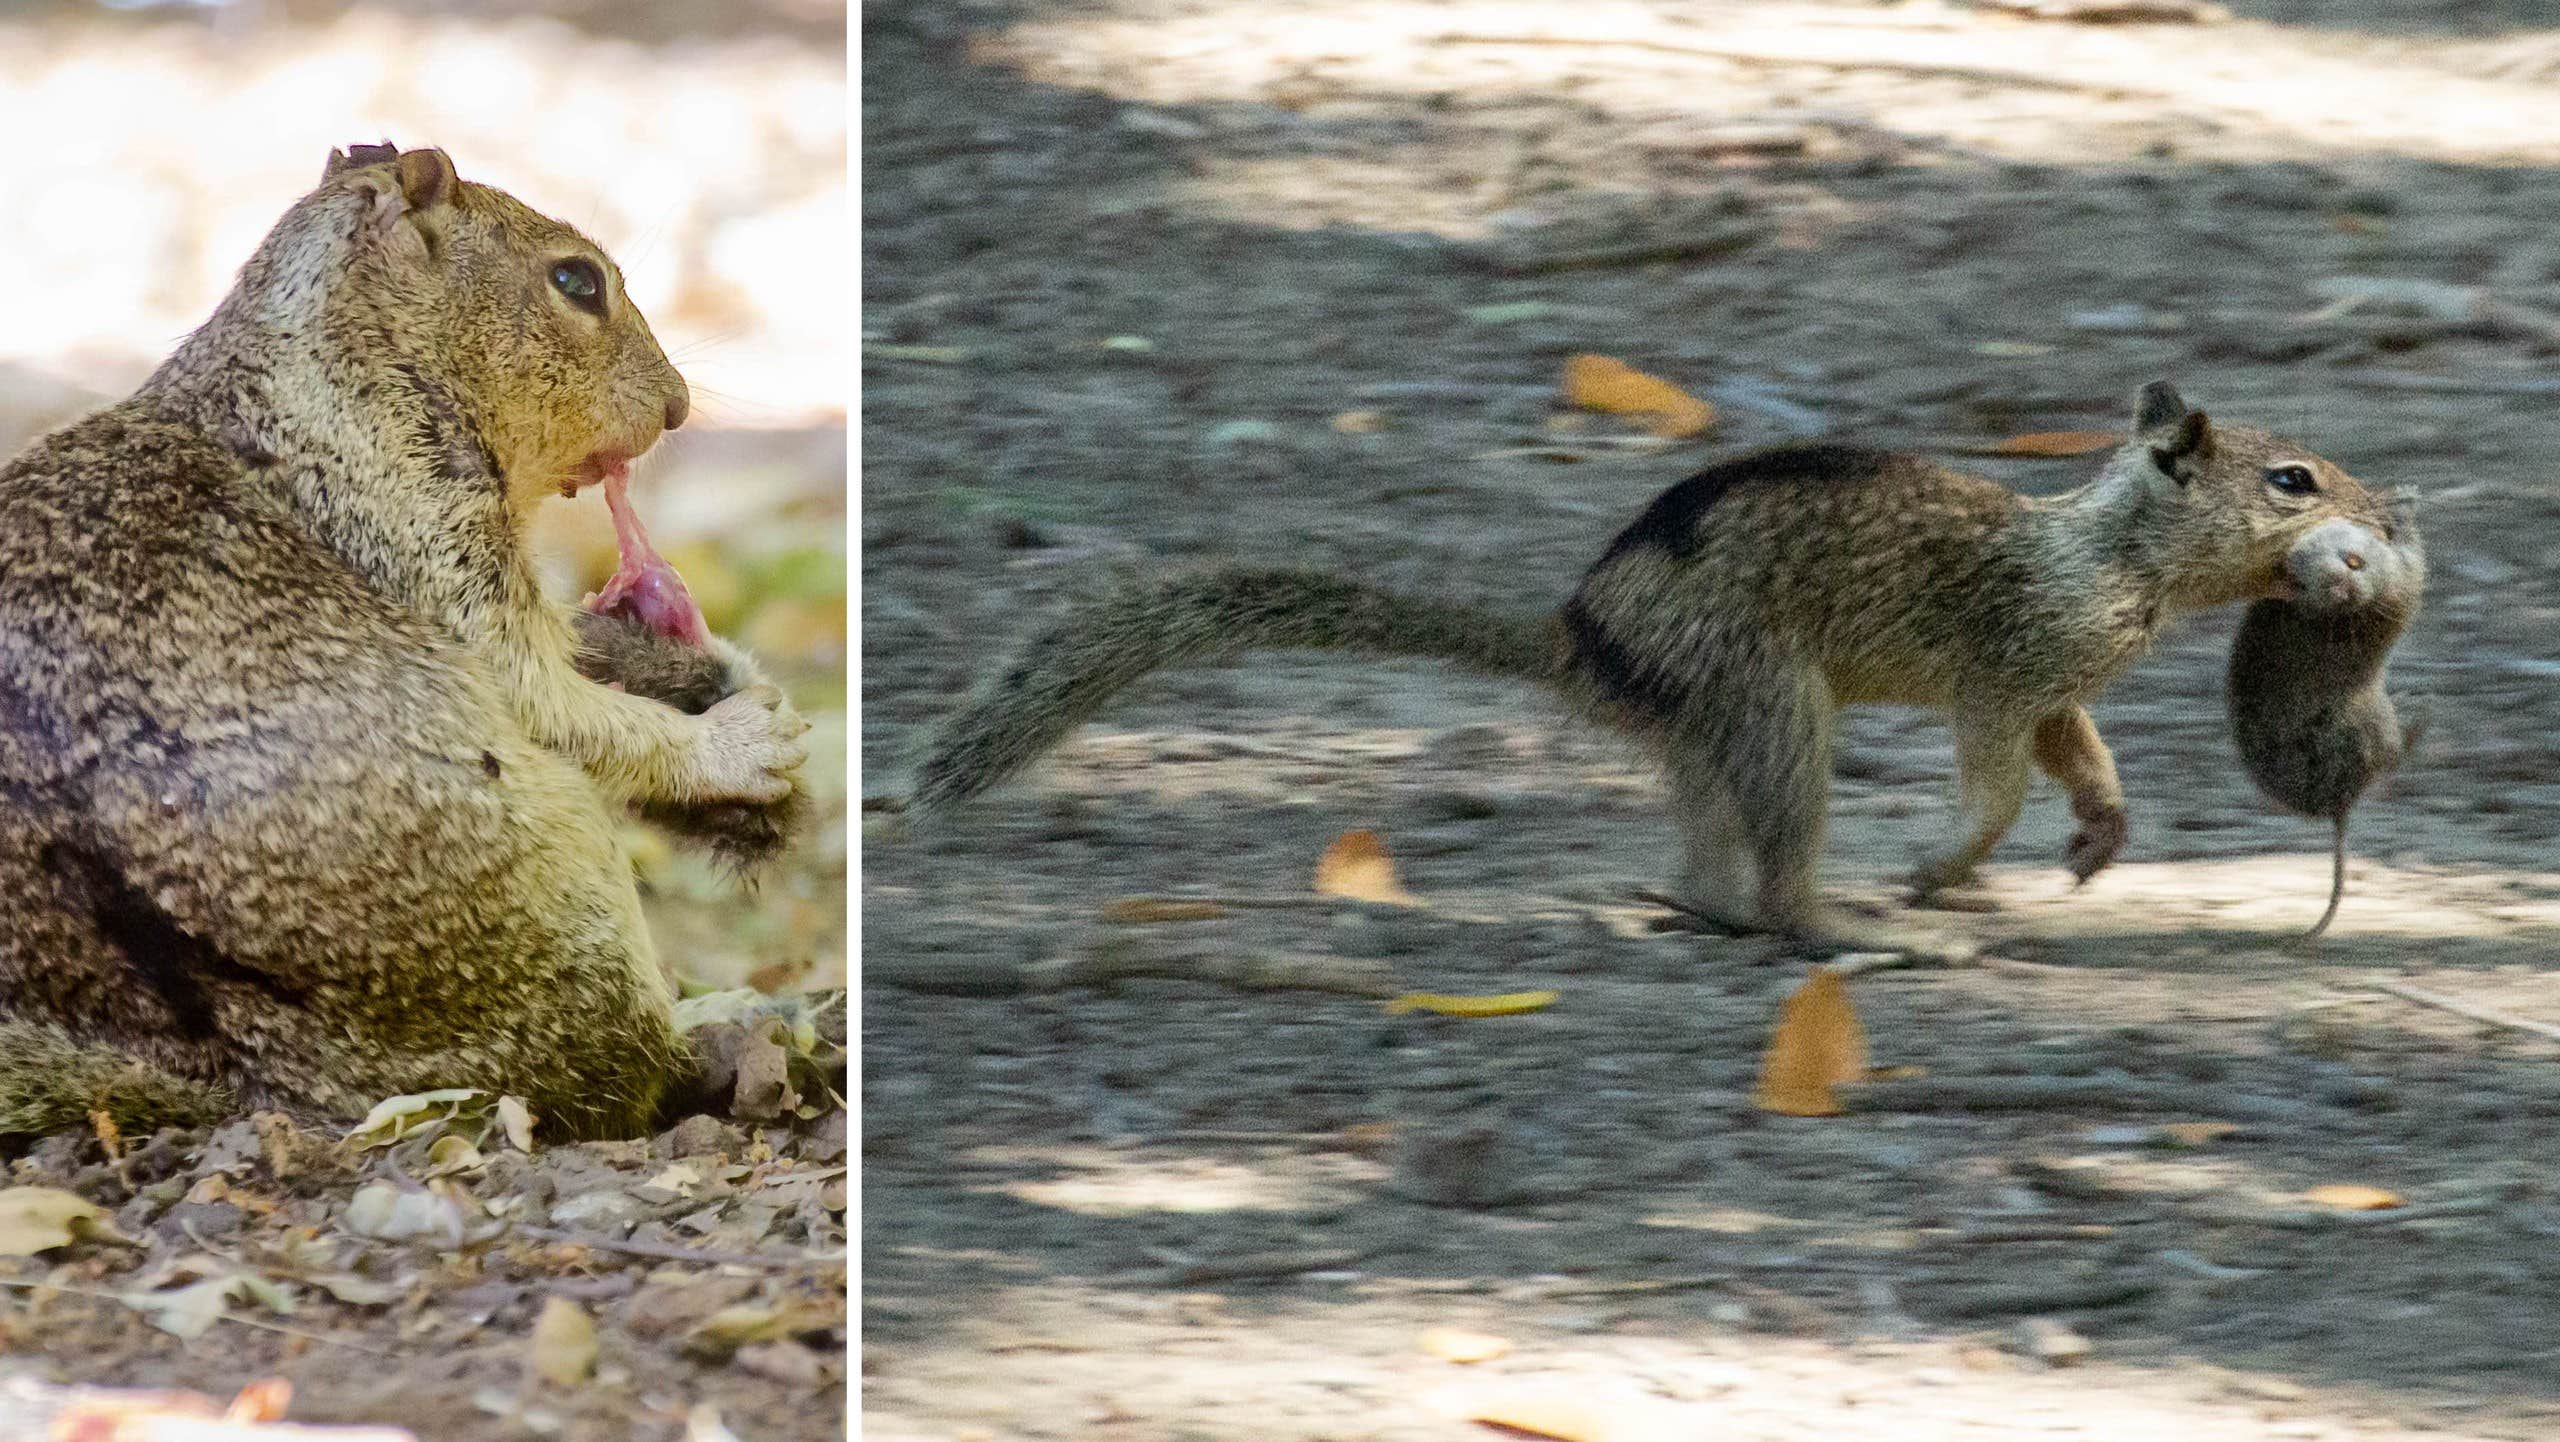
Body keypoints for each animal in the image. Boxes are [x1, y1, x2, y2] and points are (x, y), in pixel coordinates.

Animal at [0, 144, 808, 1142]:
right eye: (576, 282)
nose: (679, 408)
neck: (351, 363)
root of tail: (250, 1088)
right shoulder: (422, 534)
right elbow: (556, 704)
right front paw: (738, 742)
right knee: (609, 1082)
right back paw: (723, 1027)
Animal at [921, 381, 2396, 957]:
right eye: (2291, 479)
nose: (2386, 514)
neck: (2111, 549)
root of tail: (1575, 636)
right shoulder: (2010, 662)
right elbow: (1994, 778)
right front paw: (1945, 862)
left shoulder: (2057, 682)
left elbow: (2077, 752)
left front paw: (2098, 835)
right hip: (1774, 702)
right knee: (1784, 867)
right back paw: (1845, 922)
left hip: (1711, 727)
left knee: (1706, 854)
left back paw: (1705, 906)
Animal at [2222, 502, 2416, 942]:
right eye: (2303, 584)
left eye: (2354, 561)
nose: (2344, 590)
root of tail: (2337, 804)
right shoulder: (2401, 586)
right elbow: (2415, 560)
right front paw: (2403, 509)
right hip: (2377, 725)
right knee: (2393, 759)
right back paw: (2422, 715)